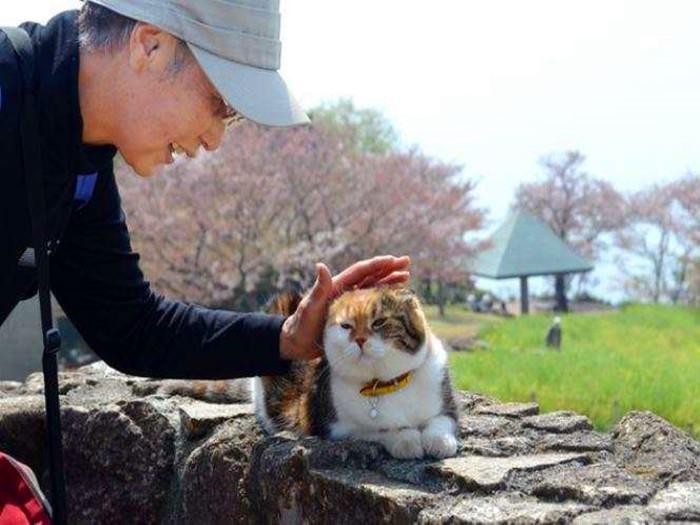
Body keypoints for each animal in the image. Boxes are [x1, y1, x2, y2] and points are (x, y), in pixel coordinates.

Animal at [252, 286, 460, 458]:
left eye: (379, 322)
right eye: (346, 326)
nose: (360, 340)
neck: (384, 384)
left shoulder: (446, 402)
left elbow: (441, 420)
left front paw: (440, 443)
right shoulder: (339, 427)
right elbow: (381, 430)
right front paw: (406, 440)